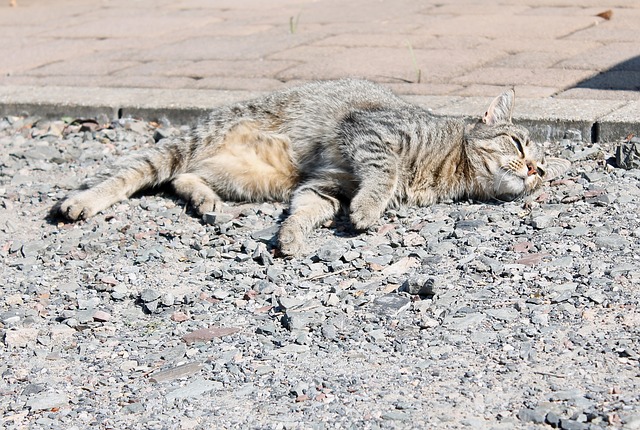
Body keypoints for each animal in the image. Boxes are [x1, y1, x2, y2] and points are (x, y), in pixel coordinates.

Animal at [57, 78, 568, 255]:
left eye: (543, 171)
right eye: (518, 143)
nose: (531, 171)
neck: (447, 171)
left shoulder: (324, 186)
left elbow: (304, 211)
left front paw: (291, 236)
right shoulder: (372, 134)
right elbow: (384, 173)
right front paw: (368, 211)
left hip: (245, 179)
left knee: (184, 180)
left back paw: (207, 202)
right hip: (186, 144)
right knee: (133, 174)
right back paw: (80, 202)